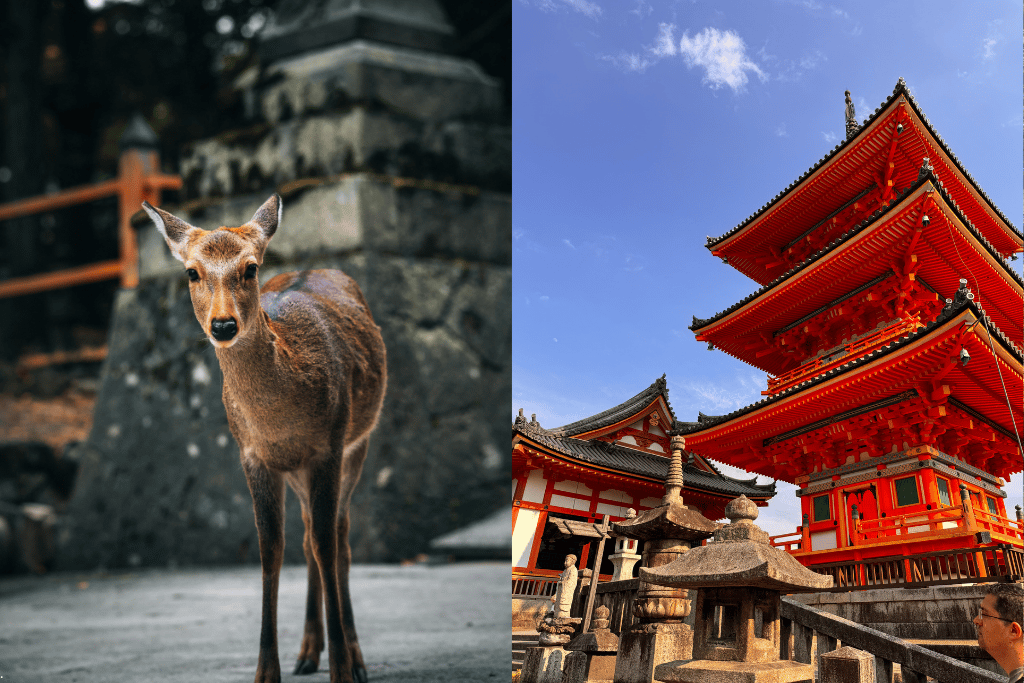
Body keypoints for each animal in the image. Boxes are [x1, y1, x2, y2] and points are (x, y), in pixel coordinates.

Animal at [142, 195, 386, 683]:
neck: (278, 420)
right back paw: (308, 652)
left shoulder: (329, 447)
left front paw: (343, 668)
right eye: (191, 272)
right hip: (297, 470)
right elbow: (271, 548)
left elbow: (328, 545)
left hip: (358, 444)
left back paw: (352, 657)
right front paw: (266, 671)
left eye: (250, 267)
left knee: (337, 538)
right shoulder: (253, 456)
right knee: (309, 535)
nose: (222, 326)